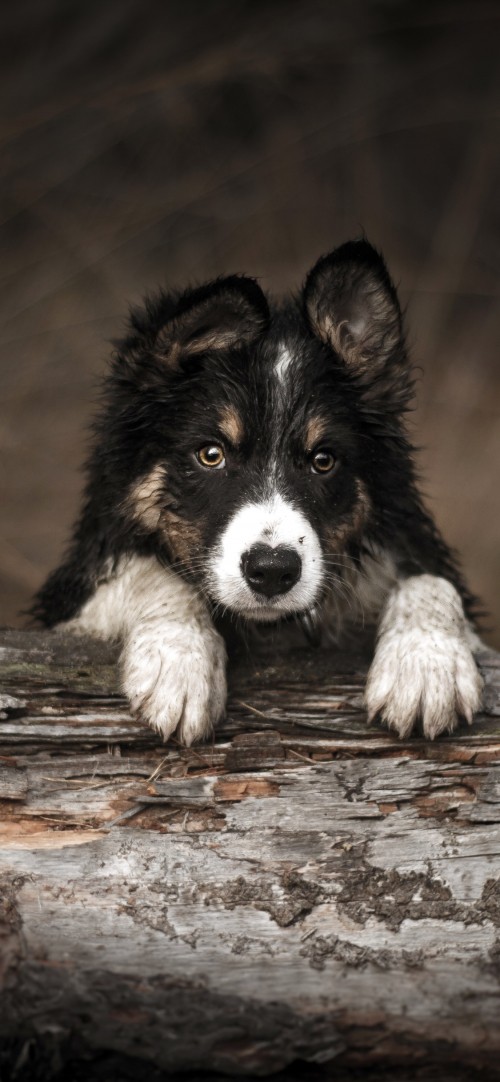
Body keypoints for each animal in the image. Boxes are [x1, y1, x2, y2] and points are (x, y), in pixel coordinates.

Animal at [30, 236, 480, 744]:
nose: (272, 571)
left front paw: (427, 666)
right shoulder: (69, 593)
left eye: (323, 461)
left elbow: (431, 579)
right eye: (211, 454)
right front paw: (179, 663)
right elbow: (152, 573)